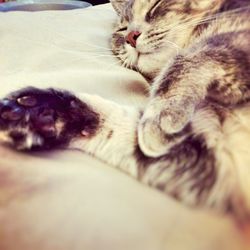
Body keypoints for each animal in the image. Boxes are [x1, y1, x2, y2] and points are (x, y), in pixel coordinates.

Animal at [0, 0, 249, 221]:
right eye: (122, 28)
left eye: (155, 5)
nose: (131, 36)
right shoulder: (212, 164)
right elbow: (120, 128)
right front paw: (38, 112)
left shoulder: (234, 39)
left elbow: (195, 53)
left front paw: (159, 120)